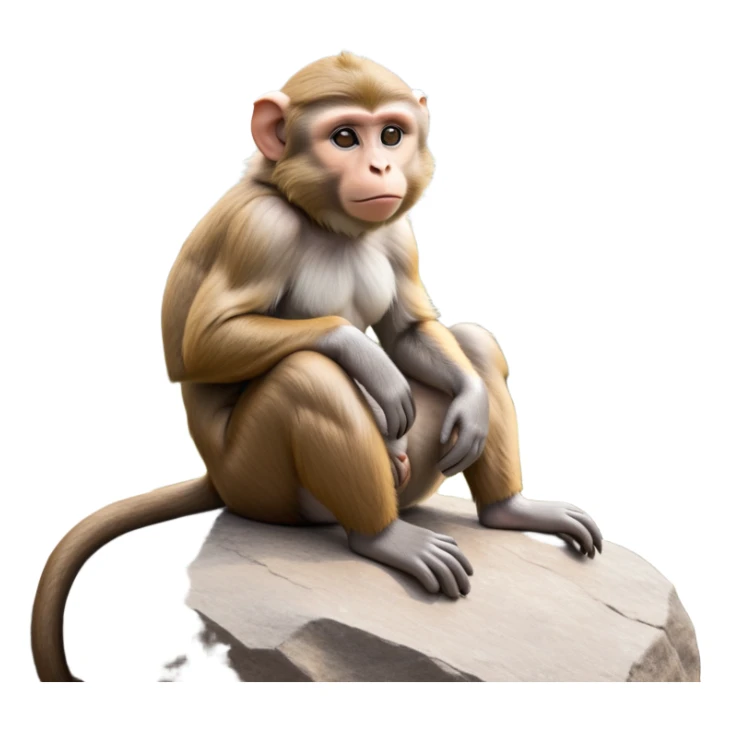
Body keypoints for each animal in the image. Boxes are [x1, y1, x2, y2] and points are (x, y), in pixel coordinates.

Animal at [31, 52, 602, 683]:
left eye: (392, 135)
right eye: (345, 137)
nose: (380, 166)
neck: (324, 220)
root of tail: (218, 481)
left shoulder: (397, 233)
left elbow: (410, 332)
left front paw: (468, 403)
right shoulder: (260, 228)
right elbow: (200, 348)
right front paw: (366, 360)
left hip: (403, 478)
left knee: (473, 346)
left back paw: (507, 508)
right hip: (262, 489)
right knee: (304, 378)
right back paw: (384, 539)